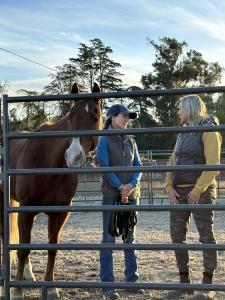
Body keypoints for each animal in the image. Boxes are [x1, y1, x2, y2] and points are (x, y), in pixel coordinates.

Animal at [0, 82, 102, 300]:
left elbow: (52, 248)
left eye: (95, 116)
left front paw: (52, 288)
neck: (48, 161)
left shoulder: (60, 211)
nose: (73, 155)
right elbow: (22, 249)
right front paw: (17, 291)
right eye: (70, 117)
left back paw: (28, 274)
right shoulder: (26, 209)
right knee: (6, 237)